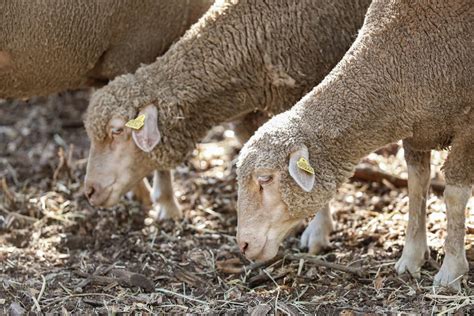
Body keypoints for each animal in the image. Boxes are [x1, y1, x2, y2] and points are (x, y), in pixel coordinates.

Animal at [235, 0, 472, 290]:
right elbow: (417, 185)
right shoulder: (416, 130)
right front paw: (411, 258)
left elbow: (454, 196)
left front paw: (451, 272)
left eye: (265, 179)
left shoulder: (468, 127)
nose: (243, 245)